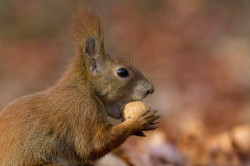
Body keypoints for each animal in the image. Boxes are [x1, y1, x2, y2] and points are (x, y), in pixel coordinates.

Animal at [0, 5, 160, 165]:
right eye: (122, 72)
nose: (150, 89)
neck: (85, 87)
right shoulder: (82, 110)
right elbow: (93, 145)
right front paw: (139, 122)